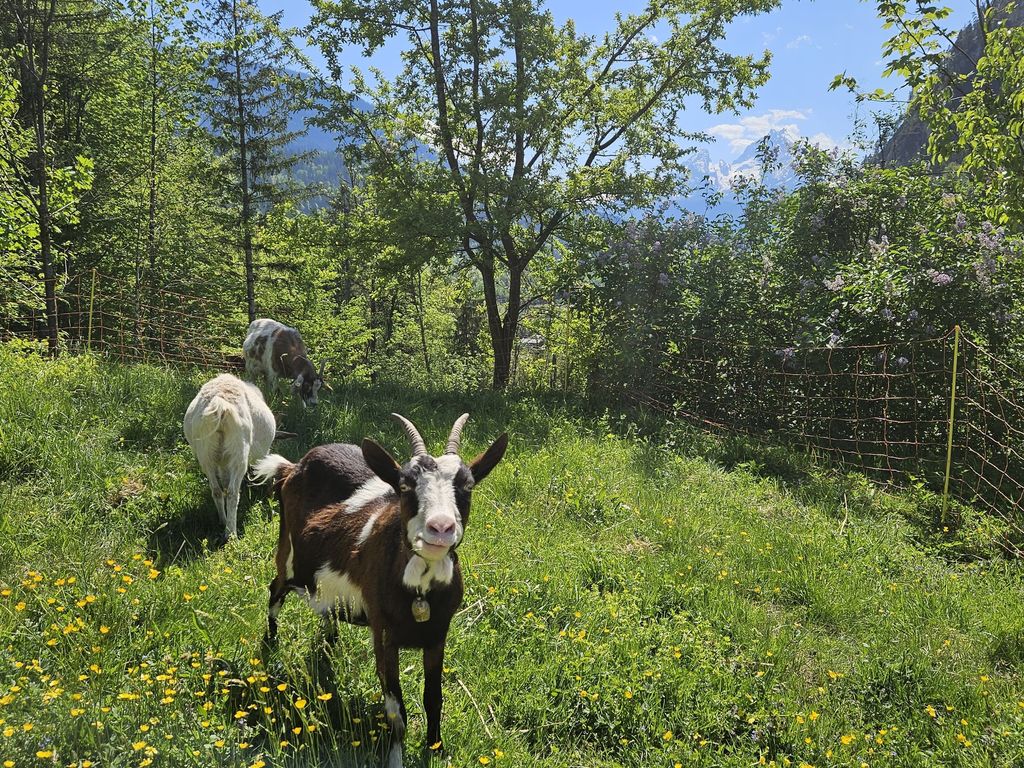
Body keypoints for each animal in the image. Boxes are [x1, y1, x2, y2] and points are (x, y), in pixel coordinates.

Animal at [183, 374, 275, 540]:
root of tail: (221, 406)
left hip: (205, 454)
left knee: (216, 490)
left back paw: (223, 521)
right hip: (239, 452)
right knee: (233, 493)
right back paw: (231, 533)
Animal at [252, 413, 508, 767]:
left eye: (467, 485)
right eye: (405, 485)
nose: (440, 528)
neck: (420, 595)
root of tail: (292, 467)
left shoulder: (438, 635)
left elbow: (434, 697)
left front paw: (436, 748)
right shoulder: (383, 635)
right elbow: (396, 708)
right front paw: (396, 756)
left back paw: (330, 639)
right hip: (288, 556)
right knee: (275, 589)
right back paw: (272, 644)